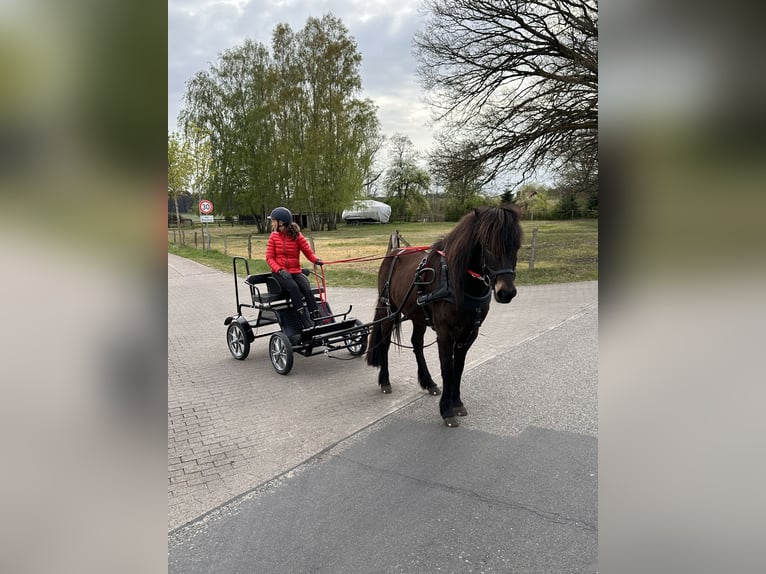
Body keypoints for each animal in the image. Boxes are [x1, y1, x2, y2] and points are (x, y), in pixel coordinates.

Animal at [368, 207, 524, 428]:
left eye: (516, 246)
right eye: (488, 246)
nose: (507, 292)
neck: (456, 282)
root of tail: (394, 253)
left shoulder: (469, 334)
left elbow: (458, 368)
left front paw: (457, 403)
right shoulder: (445, 335)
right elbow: (447, 369)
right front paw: (446, 410)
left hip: (417, 316)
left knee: (416, 344)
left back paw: (428, 382)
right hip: (389, 311)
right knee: (385, 343)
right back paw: (385, 381)